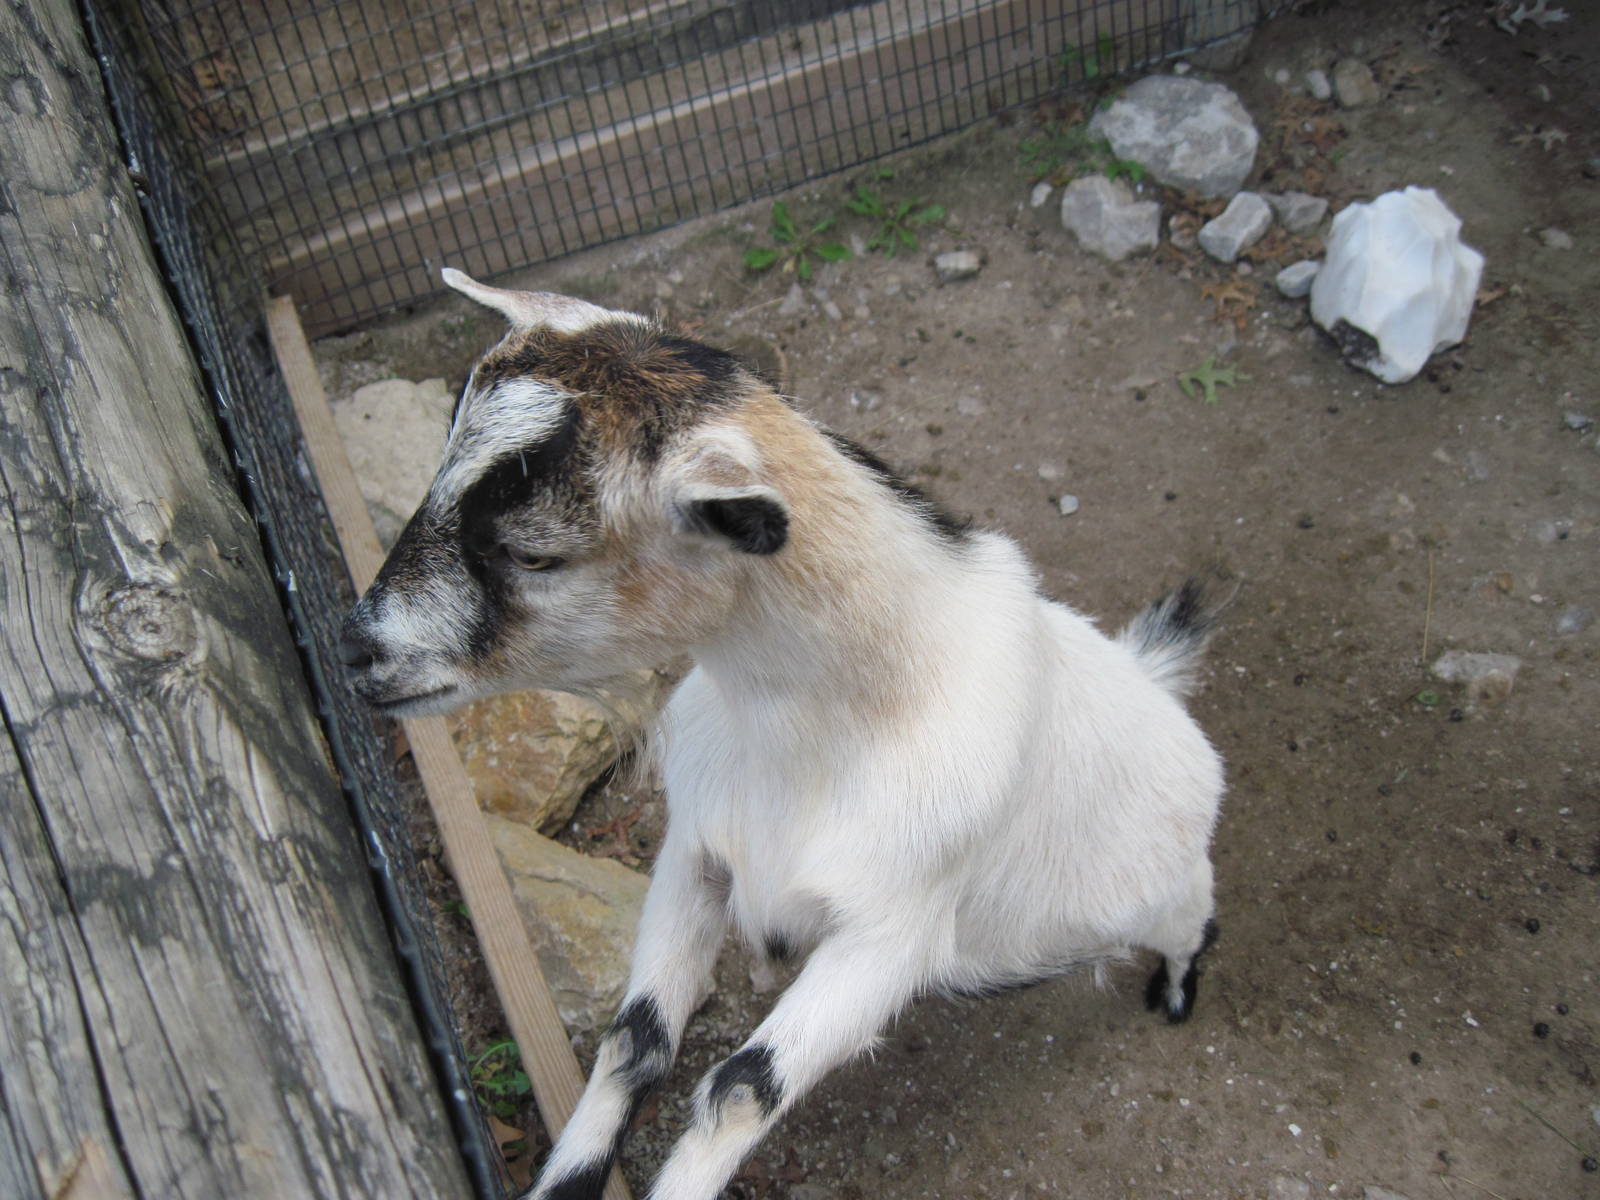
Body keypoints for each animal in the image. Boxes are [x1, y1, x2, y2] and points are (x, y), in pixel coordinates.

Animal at [339, 269, 1225, 1200]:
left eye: (535, 553)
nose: (356, 649)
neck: (820, 739)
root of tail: (1156, 684)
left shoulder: (890, 938)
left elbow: (739, 1090)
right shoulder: (695, 853)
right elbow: (632, 1042)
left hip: (1166, 895)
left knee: (1195, 925)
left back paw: (1175, 995)